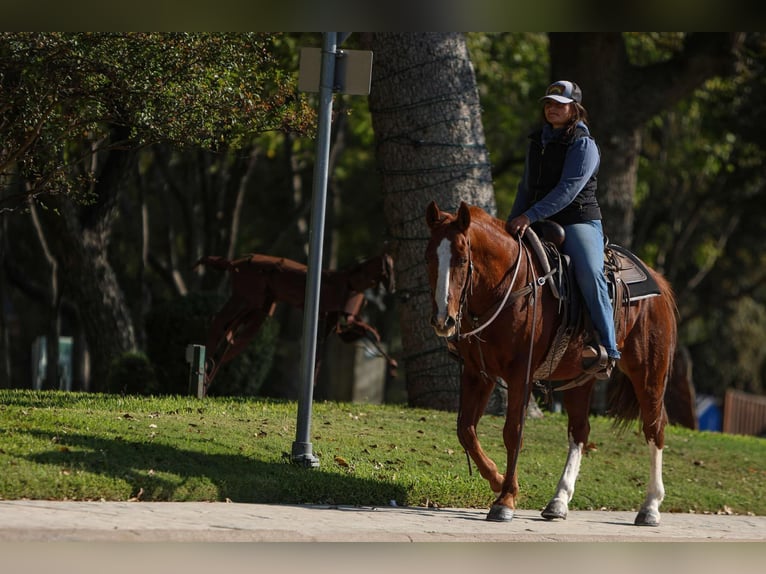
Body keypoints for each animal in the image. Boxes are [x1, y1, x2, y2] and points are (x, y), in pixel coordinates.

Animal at [194, 253, 396, 396]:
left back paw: (207, 376)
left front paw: (390, 361)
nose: (393, 289)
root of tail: (233, 264)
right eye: (389, 269)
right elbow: (364, 332)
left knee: (229, 331)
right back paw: (205, 373)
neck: (350, 281)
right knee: (220, 323)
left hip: (260, 306)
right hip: (248, 298)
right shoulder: (336, 319)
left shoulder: (335, 321)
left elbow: (355, 334)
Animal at [424, 200, 677, 526]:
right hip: (582, 378)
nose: (443, 320)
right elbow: (465, 430)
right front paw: (496, 479)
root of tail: (659, 281)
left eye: (461, 258)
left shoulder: (520, 374)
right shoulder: (477, 373)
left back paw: (650, 507)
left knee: (654, 428)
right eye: (429, 257)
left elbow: (513, 432)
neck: (509, 286)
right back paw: (558, 501)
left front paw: (506, 499)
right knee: (580, 432)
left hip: (648, 373)